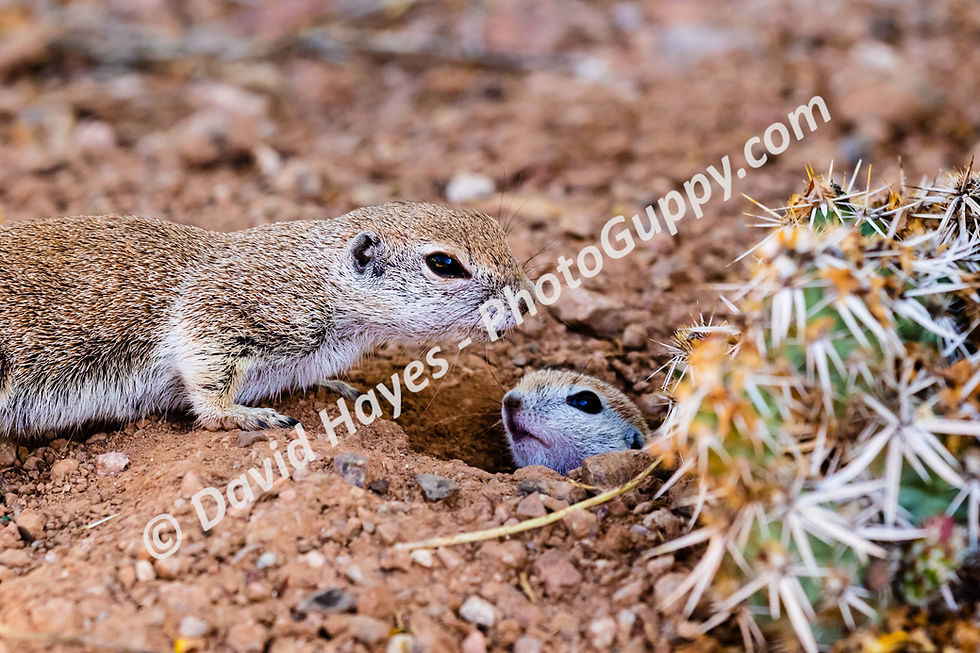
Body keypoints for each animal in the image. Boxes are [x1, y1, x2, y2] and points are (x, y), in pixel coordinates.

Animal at [0, 201, 530, 438]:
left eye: (494, 226)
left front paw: (339, 386)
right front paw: (243, 415)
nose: (525, 302)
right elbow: (206, 378)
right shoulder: (226, 310)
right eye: (444, 263)